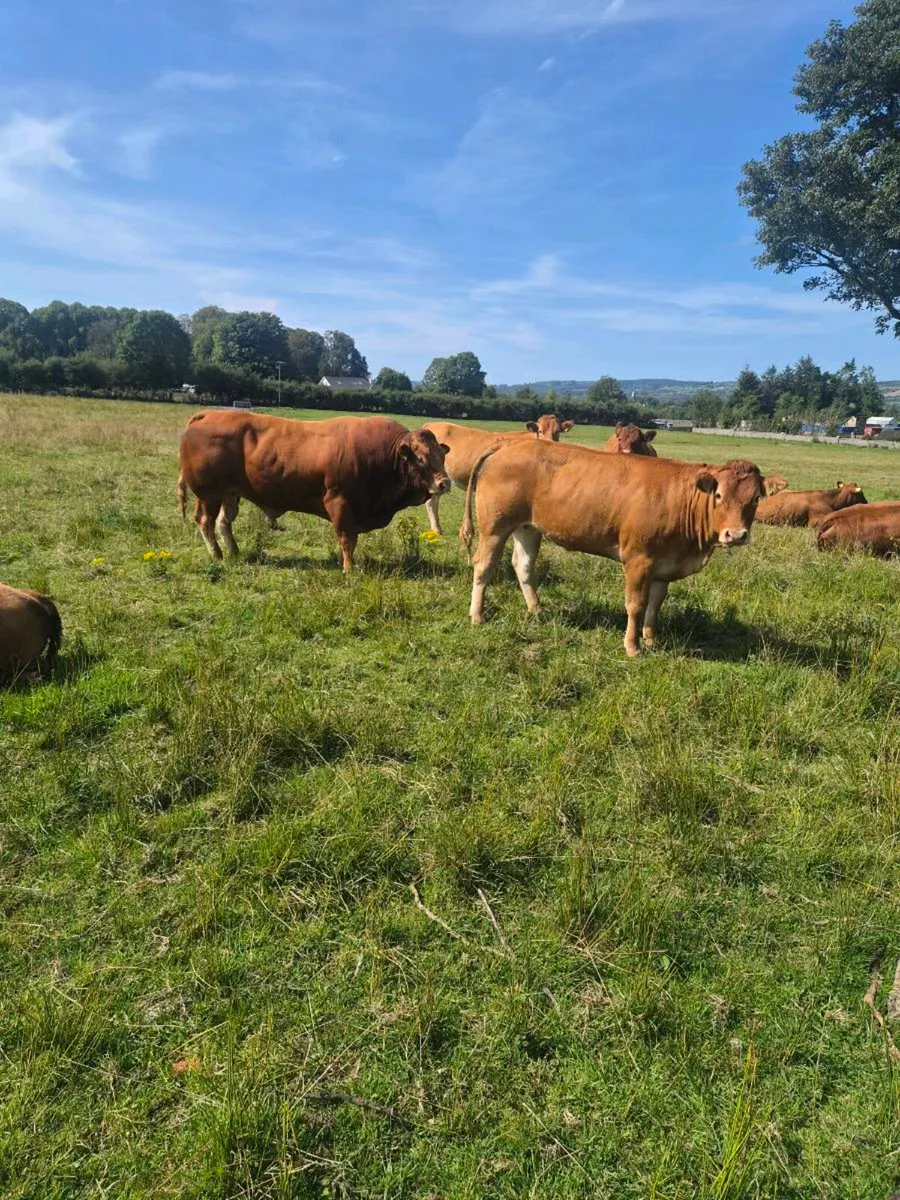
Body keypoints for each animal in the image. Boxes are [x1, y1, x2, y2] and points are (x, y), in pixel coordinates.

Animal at [178, 411, 451, 571]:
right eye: (420, 458)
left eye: (441, 456)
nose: (444, 483)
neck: (386, 457)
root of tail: (208, 414)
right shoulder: (340, 504)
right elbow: (347, 540)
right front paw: (349, 569)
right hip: (209, 494)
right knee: (205, 521)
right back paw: (217, 555)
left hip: (230, 494)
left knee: (224, 522)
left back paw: (233, 551)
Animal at [420, 415, 574, 536]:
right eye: (540, 431)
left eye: (558, 432)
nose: (550, 442)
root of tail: (430, 425)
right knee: (431, 502)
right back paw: (437, 530)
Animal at [459, 440, 769, 657]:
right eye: (718, 495)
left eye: (755, 499)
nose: (736, 534)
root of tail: (509, 444)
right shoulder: (639, 560)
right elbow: (636, 604)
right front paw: (632, 646)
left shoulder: (664, 564)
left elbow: (655, 604)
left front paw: (651, 639)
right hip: (495, 526)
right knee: (483, 566)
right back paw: (476, 615)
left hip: (527, 528)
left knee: (523, 566)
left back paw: (536, 610)